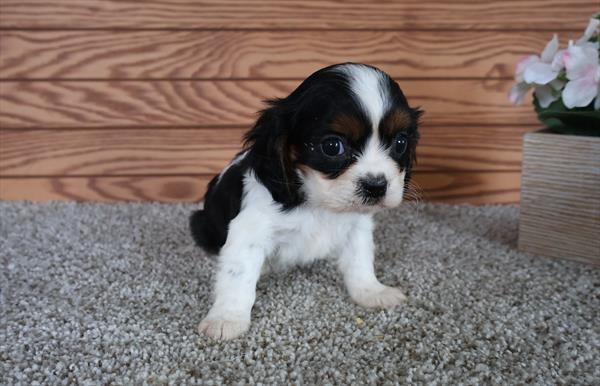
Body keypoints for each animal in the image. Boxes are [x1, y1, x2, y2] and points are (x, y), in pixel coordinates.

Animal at [190, 62, 420, 338]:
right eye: (332, 146)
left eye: (401, 142)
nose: (376, 186)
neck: (320, 203)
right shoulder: (249, 230)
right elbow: (237, 275)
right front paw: (227, 318)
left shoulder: (357, 227)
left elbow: (360, 261)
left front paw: (371, 291)